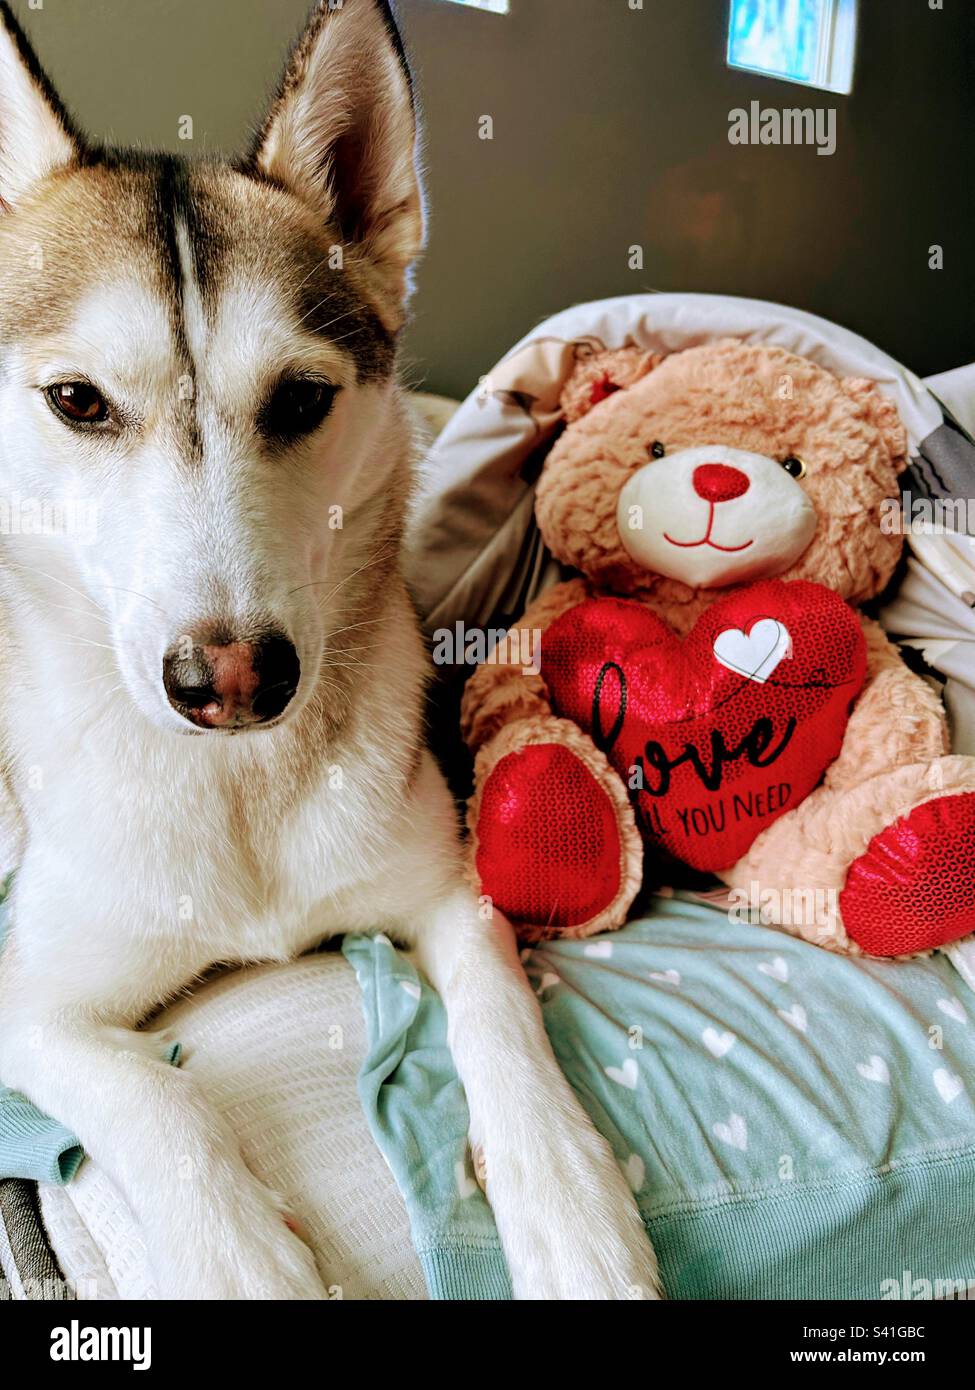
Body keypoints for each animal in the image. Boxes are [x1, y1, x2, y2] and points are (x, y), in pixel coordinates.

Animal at [0, 0, 662, 1295]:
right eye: (78, 402)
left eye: (302, 400)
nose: (233, 679)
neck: (239, 790)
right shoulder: (25, 1003)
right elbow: (150, 1097)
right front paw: (239, 1251)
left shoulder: (448, 888)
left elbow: (503, 1010)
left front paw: (571, 1203)